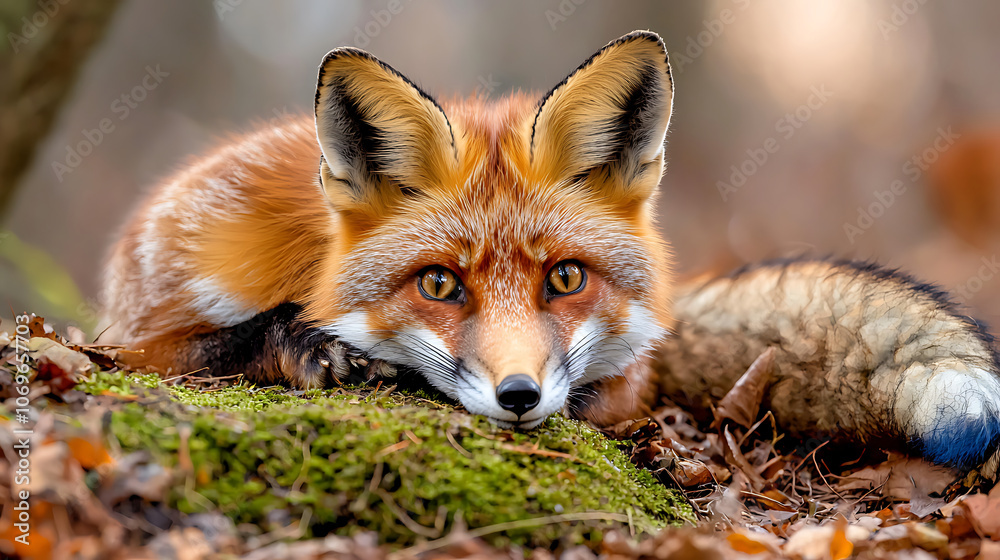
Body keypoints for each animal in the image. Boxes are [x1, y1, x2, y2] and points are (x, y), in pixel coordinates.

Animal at [101, 31, 1000, 477]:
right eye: (438, 284)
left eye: (565, 278)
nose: (520, 396)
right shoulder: (137, 332)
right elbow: (222, 341)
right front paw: (307, 345)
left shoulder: (617, 382)